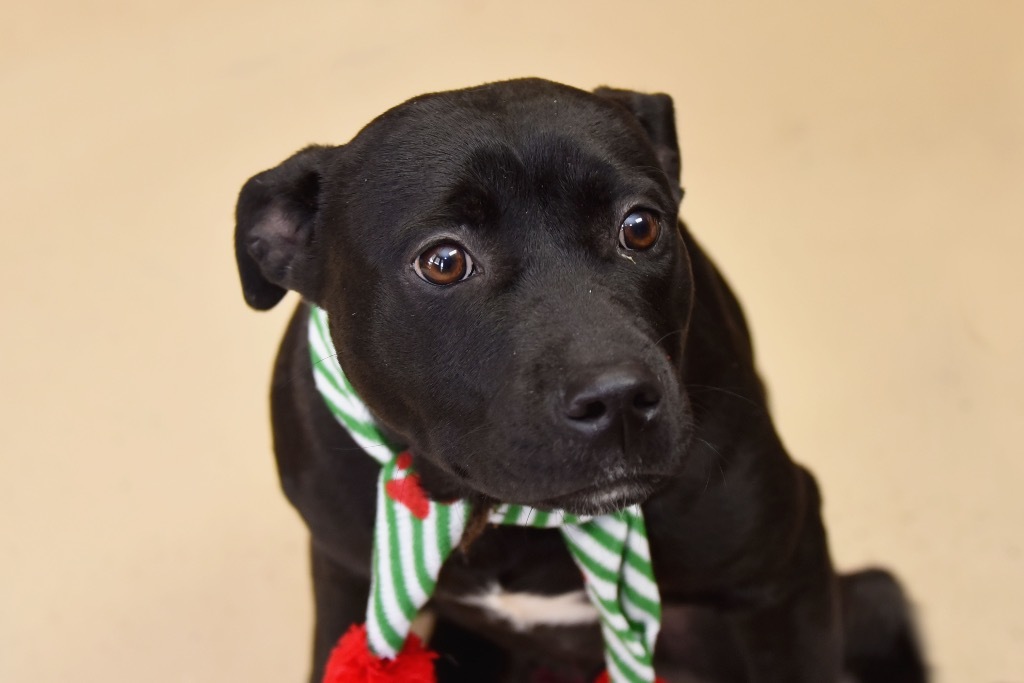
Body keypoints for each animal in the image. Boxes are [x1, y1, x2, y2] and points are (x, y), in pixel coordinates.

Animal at [235, 77, 925, 679]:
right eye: (443, 261)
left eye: (640, 226)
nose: (618, 400)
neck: (503, 518)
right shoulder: (344, 574)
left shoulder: (782, 576)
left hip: (874, 598)